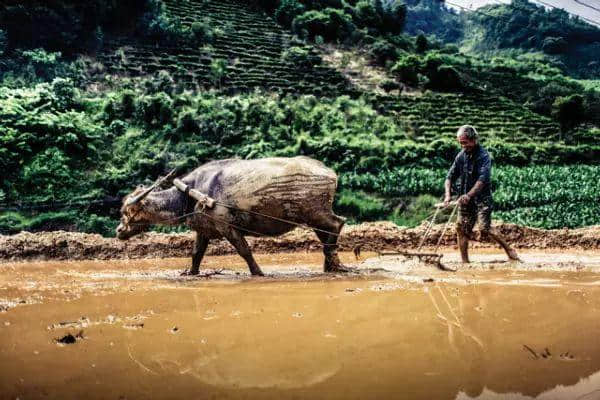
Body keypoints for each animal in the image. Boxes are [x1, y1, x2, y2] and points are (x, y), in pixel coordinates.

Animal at [116, 156, 346, 276]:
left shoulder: (227, 227)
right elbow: (196, 253)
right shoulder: (204, 230)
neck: (190, 194)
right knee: (327, 234)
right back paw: (330, 265)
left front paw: (257, 272)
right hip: (313, 217)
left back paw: (334, 265)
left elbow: (244, 251)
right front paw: (191, 272)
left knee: (336, 224)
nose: (119, 231)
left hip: (316, 213)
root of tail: (330, 173)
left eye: (128, 212)